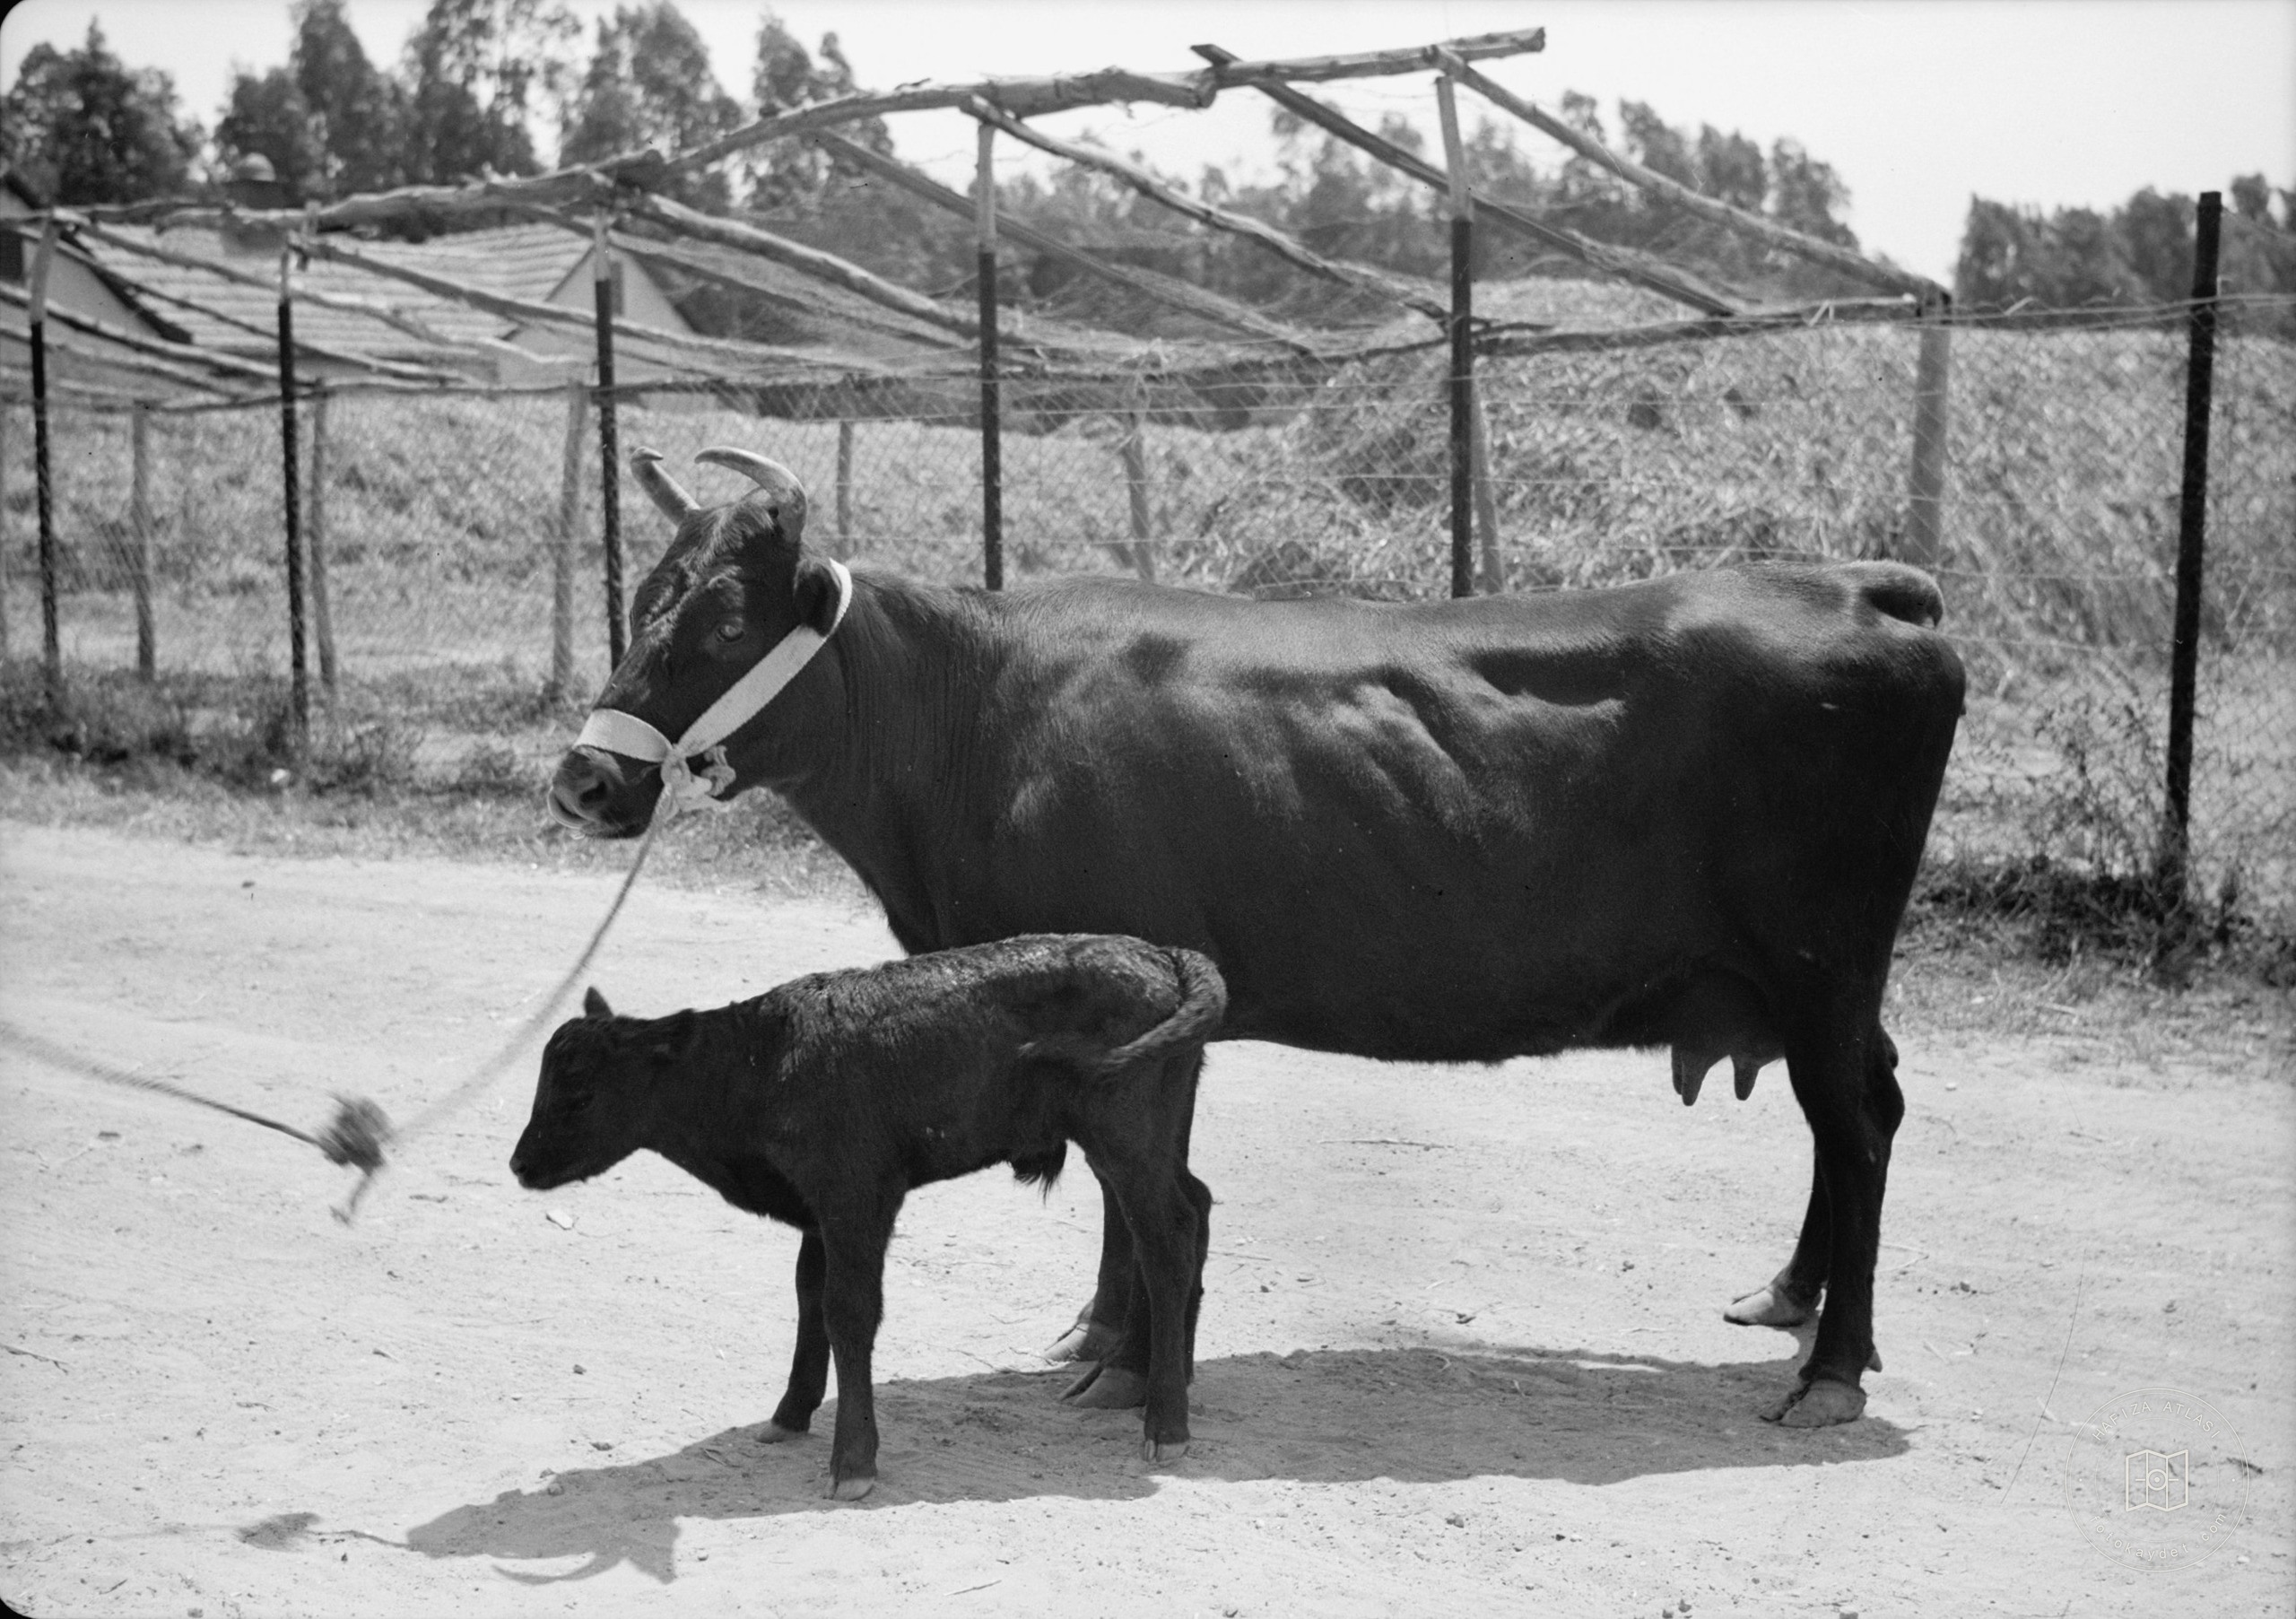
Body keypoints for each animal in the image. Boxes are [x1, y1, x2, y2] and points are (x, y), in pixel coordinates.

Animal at [508, 934, 1226, 1499]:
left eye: (578, 1094)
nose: (519, 1163)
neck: (761, 1061)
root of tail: (1162, 955)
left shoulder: (856, 1197)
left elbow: (847, 1310)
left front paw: (851, 1461)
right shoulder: (815, 1210)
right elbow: (809, 1297)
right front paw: (790, 1412)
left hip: (1126, 1140)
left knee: (1165, 1242)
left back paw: (1166, 1423)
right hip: (1154, 1141)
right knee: (1194, 1208)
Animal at [547, 444, 1966, 1431]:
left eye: (724, 622)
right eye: (642, 597)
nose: (582, 780)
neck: (975, 711)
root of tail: (1854, 583)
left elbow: (1135, 1184)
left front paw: (1121, 1358)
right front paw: (1101, 1339)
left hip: (1821, 958)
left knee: (1858, 1122)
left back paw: (1832, 1367)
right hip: (1816, 979)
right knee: (1865, 1106)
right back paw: (1795, 1298)